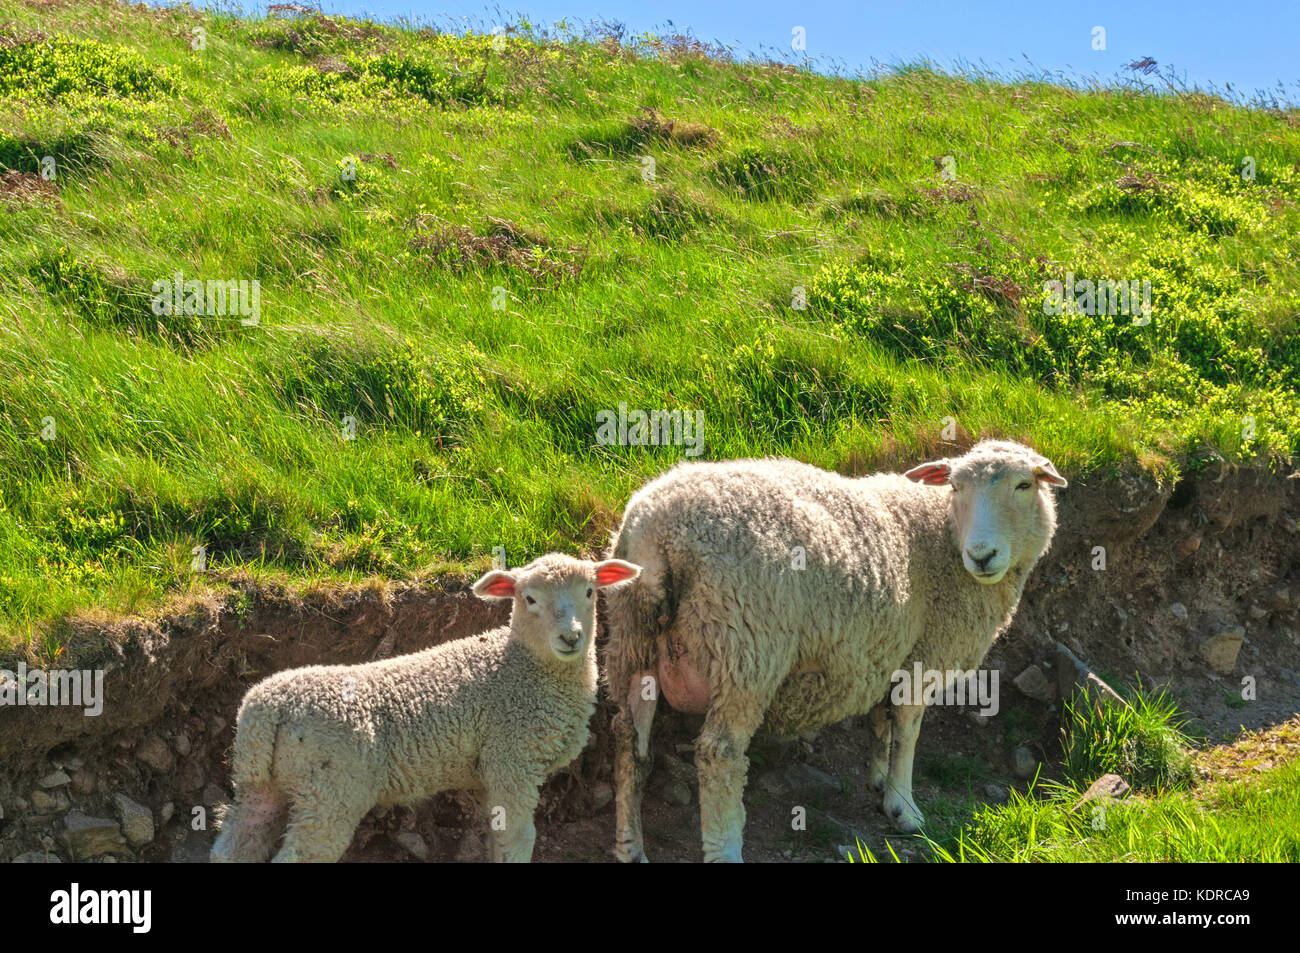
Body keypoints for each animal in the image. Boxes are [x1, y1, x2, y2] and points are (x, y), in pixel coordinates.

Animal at [210, 551, 642, 863]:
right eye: (529, 599)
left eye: (590, 592)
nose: (571, 637)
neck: (523, 667)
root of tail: (269, 708)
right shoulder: (512, 761)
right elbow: (519, 840)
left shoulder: (489, 774)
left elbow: (496, 839)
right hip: (330, 790)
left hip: (260, 782)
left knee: (234, 845)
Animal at [603, 439, 1060, 863]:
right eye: (956, 486)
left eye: (1024, 484)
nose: (982, 556)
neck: (940, 532)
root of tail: (661, 535)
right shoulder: (925, 654)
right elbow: (907, 729)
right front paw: (903, 807)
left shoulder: (884, 651)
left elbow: (880, 722)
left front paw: (878, 778)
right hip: (746, 649)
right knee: (720, 752)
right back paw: (725, 848)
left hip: (632, 643)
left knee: (629, 741)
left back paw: (631, 848)